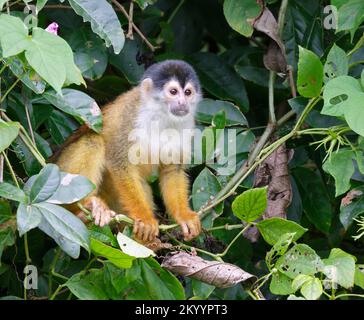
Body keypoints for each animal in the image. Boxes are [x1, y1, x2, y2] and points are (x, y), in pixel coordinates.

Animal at [52, 59, 202, 240]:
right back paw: (84, 207)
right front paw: (145, 219)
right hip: (59, 175)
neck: (160, 115)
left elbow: (172, 170)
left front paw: (184, 216)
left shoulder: (186, 123)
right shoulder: (129, 115)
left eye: (188, 92)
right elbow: (119, 162)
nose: (182, 103)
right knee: (92, 141)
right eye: (173, 92)